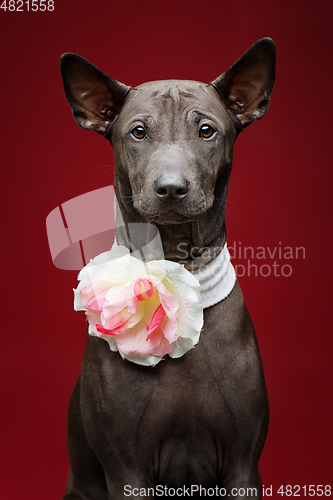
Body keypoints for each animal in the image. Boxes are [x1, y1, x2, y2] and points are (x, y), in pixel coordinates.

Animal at [60, 37, 274, 498]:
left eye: (207, 130)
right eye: (138, 131)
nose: (172, 188)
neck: (177, 266)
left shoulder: (244, 467)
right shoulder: (126, 470)